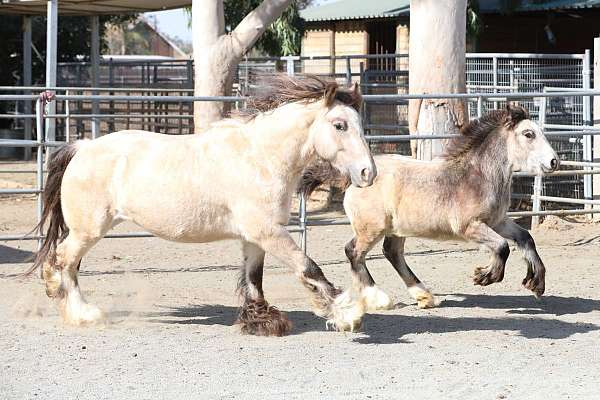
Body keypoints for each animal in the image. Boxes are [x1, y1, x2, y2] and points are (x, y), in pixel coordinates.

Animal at [29, 74, 376, 334]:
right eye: (340, 125)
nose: (368, 173)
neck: (260, 158)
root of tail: (82, 147)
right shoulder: (268, 232)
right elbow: (309, 267)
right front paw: (347, 315)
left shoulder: (255, 236)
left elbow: (254, 279)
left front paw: (260, 321)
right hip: (88, 230)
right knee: (63, 260)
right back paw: (81, 313)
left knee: (62, 261)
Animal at [302, 104, 560, 330]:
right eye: (528, 134)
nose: (554, 162)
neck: (479, 176)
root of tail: (354, 177)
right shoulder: (470, 227)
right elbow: (502, 247)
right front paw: (484, 276)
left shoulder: (497, 221)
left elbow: (525, 238)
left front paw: (536, 283)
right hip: (372, 228)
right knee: (354, 252)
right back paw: (380, 299)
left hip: (396, 229)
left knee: (391, 252)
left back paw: (424, 296)